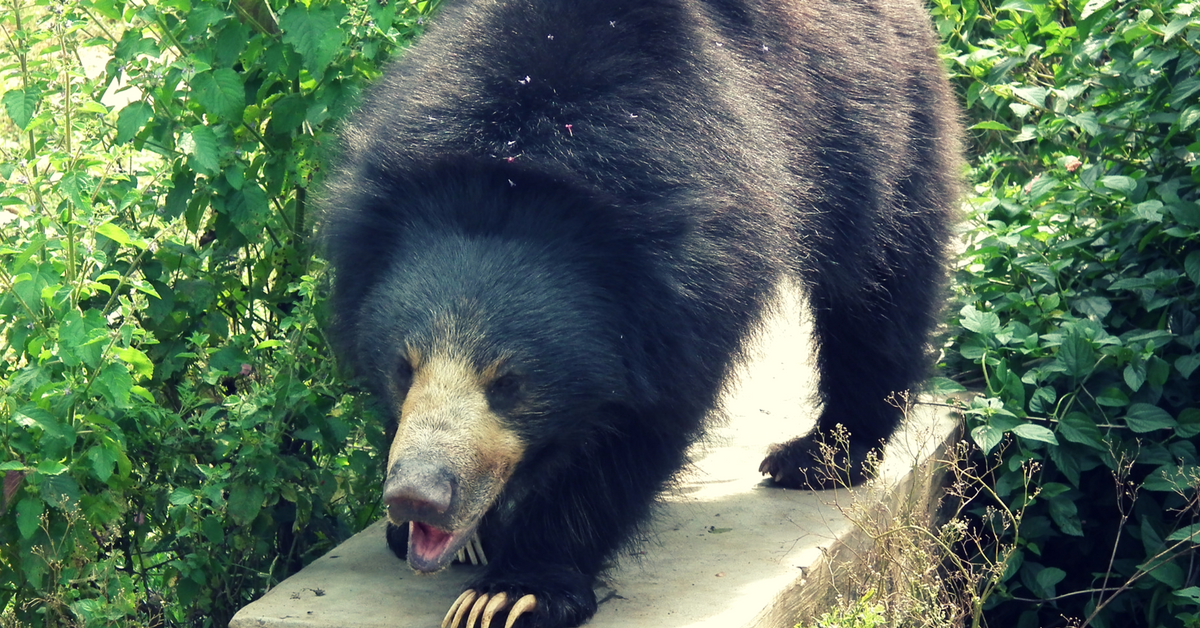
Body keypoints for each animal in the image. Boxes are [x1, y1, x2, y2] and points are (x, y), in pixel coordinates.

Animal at [324, 0, 960, 624]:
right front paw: (467, 540)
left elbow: (639, 427)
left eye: (509, 383)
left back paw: (818, 458)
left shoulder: (686, 284)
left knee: (880, 285)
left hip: (882, 124)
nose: (416, 497)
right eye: (402, 369)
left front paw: (513, 591)